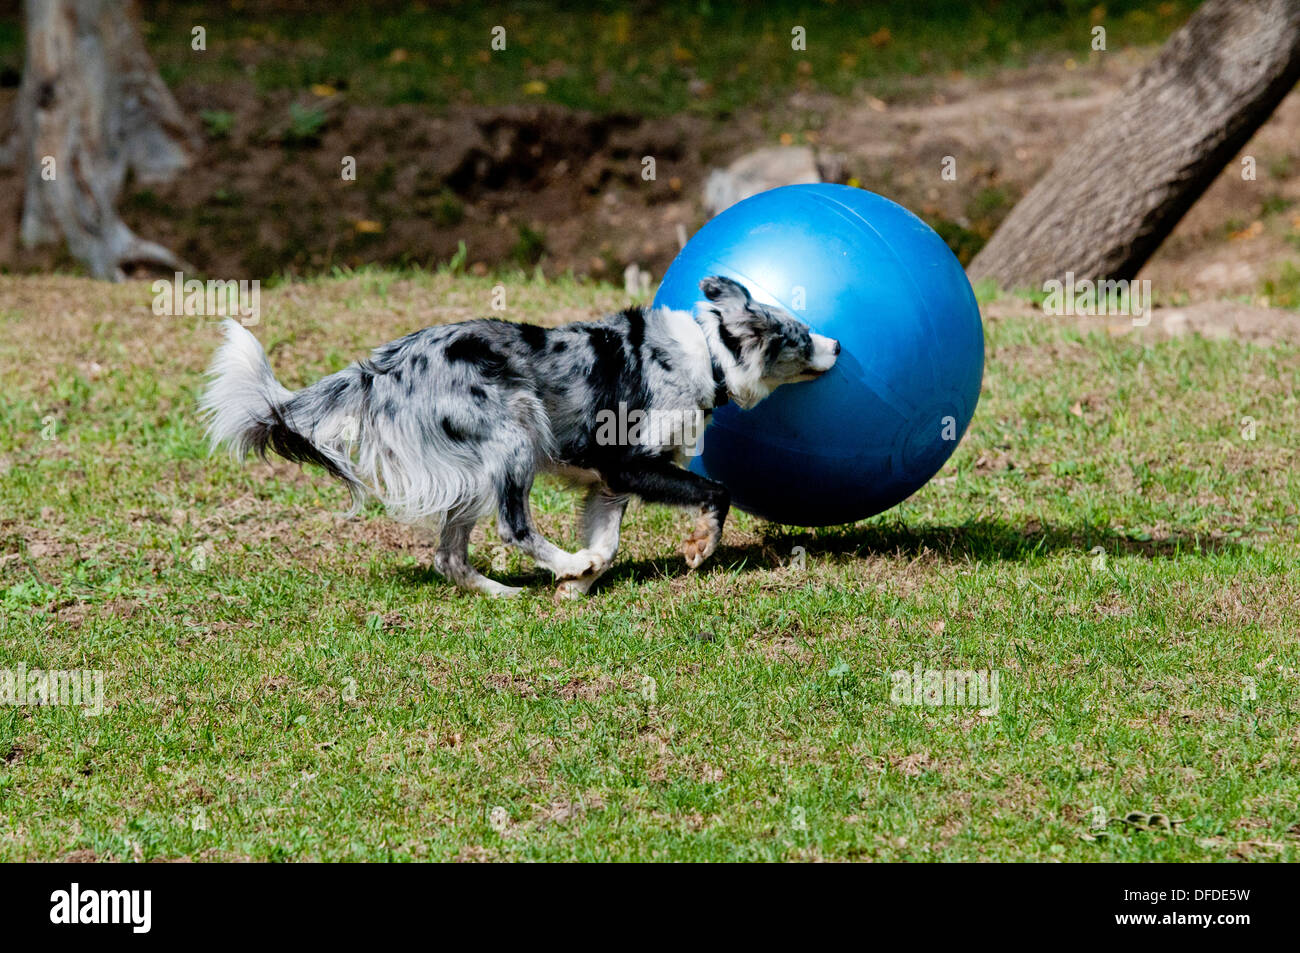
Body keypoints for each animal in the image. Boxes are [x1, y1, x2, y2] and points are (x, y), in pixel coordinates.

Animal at [197, 275, 837, 598]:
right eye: (801, 336)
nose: (836, 346)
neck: (707, 352)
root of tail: (382, 368)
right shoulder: (629, 463)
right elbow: (716, 493)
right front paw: (697, 547)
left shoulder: (609, 484)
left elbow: (608, 543)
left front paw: (578, 584)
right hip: (516, 432)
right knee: (513, 526)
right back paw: (557, 562)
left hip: (474, 473)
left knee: (449, 557)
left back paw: (511, 591)